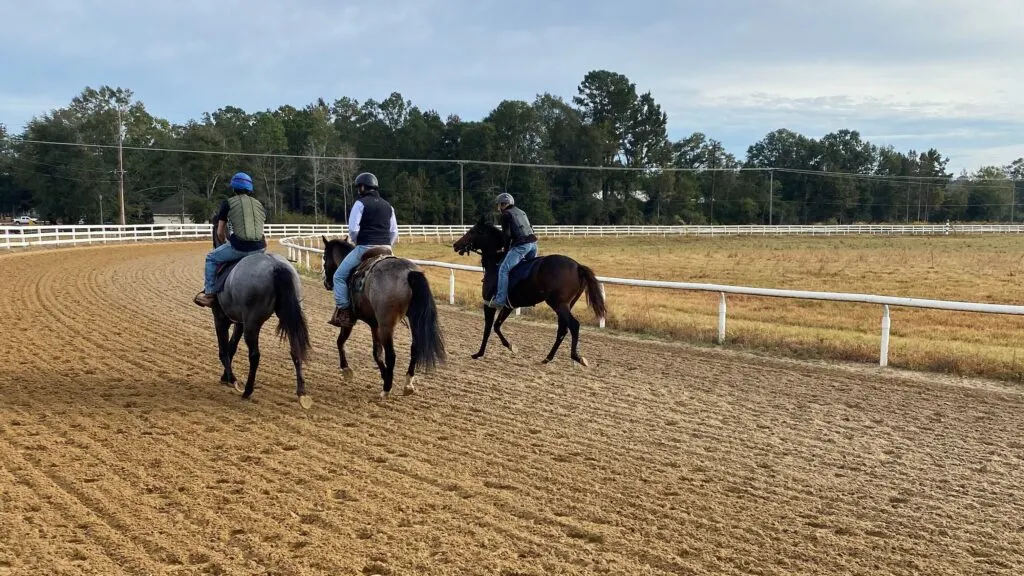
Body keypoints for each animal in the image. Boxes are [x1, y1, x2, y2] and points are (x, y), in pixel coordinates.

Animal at [199, 219, 311, 407]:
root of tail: (275, 266)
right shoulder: (240, 322)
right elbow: (231, 347)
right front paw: (225, 377)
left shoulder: (221, 319)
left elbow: (223, 349)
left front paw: (232, 379)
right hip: (287, 316)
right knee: (295, 348)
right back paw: (301, 392)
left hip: (253, 324)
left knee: (254, 355)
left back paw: (247, 391)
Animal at [321, 233, 446, 399]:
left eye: (324, 257)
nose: (326, 283)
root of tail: (408, 272)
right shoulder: (374, 324)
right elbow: (376, 353)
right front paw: (384, 374)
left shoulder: (350, 321)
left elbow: (340, 342)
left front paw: (346, 370)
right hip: (413, 320)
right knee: (415, 347)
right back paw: (407, 384)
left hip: (387, 325)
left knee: (391, 355)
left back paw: (386, 390)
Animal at [450, 217, 606, 364]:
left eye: (472, 231)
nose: (456, 245)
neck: (496, 264)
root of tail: (577, 266)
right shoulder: (509, 306)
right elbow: (497, 326)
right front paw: (511, 346)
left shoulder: (489, 303)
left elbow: (487, 329)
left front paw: (478, 353)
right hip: (567, 305)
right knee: (562, 328)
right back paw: (547, 358)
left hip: (558, 304)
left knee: (573, 325)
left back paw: (577, 357)